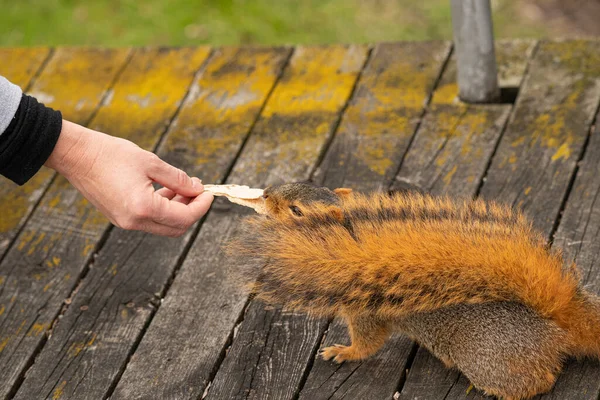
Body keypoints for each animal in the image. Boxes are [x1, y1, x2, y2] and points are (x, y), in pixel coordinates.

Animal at [226, 183, 600, 398]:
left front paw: (343, 352)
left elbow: (368, 343)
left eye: (296, 210)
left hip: (487, 358)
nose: (265, 195)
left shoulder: (365, 309)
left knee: (539, 381)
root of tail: (554, 325)